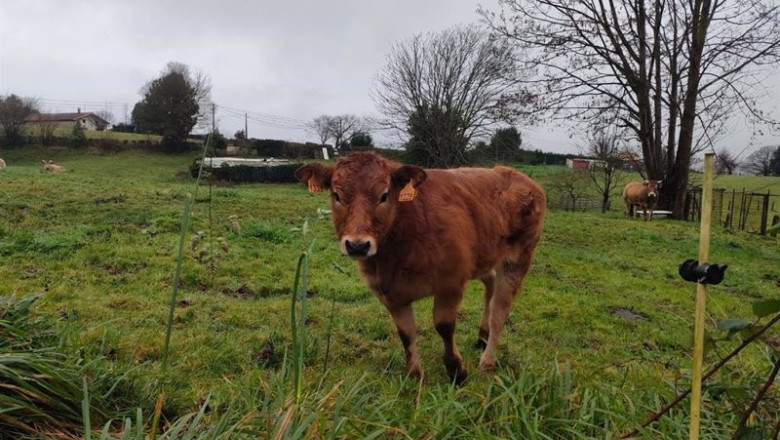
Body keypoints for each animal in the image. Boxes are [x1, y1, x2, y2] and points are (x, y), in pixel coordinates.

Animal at [296, 152, 546, 385]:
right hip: (487, 256)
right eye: (337, 195)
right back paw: (482, 337)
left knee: (499, 312)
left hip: (519, 258)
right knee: (490, 288)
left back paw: (487, 360)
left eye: (384, 195)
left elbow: (444, 326)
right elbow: (406, 333)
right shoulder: (388, 293)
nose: (357, 245)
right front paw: (414, 373)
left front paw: (456, 371)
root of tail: (515, 174)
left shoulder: (450, 281)